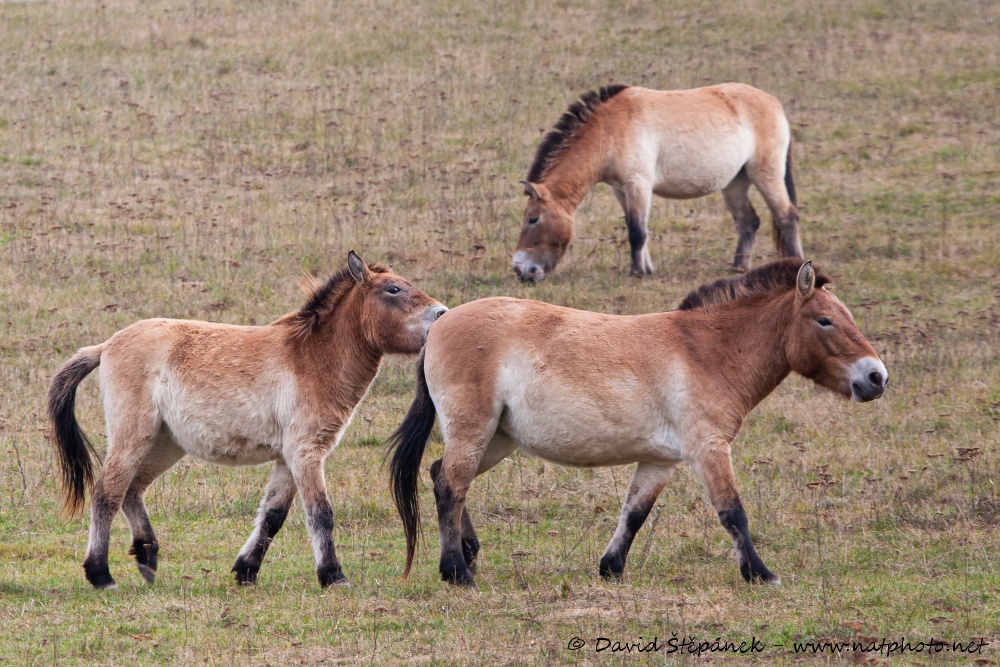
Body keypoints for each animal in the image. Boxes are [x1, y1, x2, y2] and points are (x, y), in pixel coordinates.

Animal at [48, 252, 448, 588]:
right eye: (393, 289)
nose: (443, 314)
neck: (314, 358)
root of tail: (106, 346)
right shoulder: (306, 452)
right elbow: (320, 513)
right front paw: (334, 576)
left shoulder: (290, 457)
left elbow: (273, 515)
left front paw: (246, 571)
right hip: (133, 437)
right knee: (107, 493)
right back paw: (101, 575)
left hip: (164, 443)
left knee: (132, 490)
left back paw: (147, 558)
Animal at [386, 260, 888, 588]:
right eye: (824, 320)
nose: (876, 377)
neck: (707, 350)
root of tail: (439, 326)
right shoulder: (708, 449)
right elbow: (733, 512)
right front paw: (761, 574)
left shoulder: (660, 462)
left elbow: (634, 514)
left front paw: (611, 569)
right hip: (475, 432)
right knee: (450, 486)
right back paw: (456, 572)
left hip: (496, 439)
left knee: (444, 476)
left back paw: (469, 555)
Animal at [516, 83, 804, 282]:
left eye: (533, 219)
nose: (520, 270)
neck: (609, 129)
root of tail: (774, 103)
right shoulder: (621, 190)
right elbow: (637, 229)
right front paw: (647, 268)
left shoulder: (638, 185)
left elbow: (636, 231)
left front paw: (637, 272)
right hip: (735, 183)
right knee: (748, 222)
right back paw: (738, 268)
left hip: (766, 175)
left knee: (786, 217)